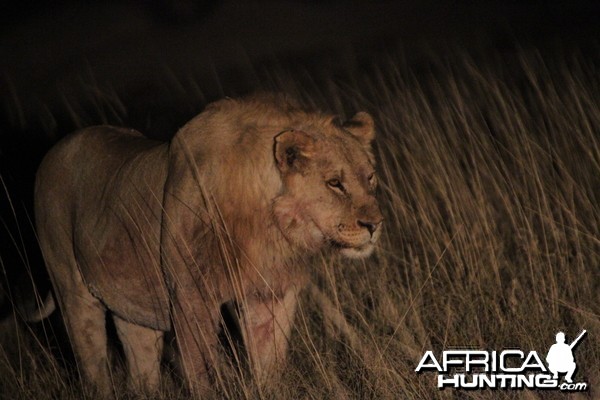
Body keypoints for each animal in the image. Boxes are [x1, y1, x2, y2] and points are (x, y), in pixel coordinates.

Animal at [34, 94, 380, 396]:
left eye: (370, 177)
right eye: (334, 183)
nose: (374, 225)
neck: (267, 225)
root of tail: (55, 149)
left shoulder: (271, 293)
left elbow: (269, 362)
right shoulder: (191, 296)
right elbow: (200, 367)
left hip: (132, 304)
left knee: (140, 365)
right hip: (74, 292)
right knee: (93, 366)